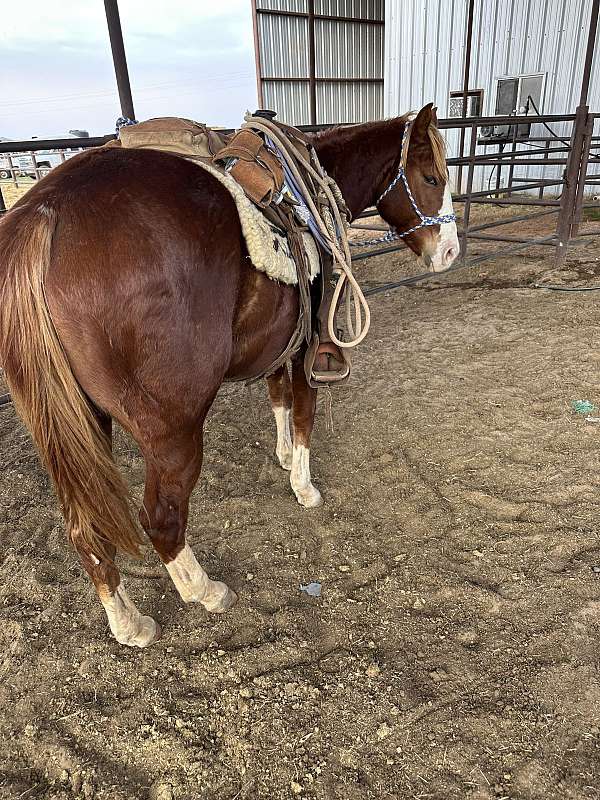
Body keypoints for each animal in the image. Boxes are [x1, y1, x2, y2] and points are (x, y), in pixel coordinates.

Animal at [0, 103, 458, 646]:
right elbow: (303, 412)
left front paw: (283, 457)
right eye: (431, 177)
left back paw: (129, 623)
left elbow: (278, 397)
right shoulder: (309, 343)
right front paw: (305, 487)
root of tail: (44, 214)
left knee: (84, 527)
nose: (449, 251)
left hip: (77, 425)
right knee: (161, 519)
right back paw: (206, 591)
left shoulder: (282, 343)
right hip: (172, 428)